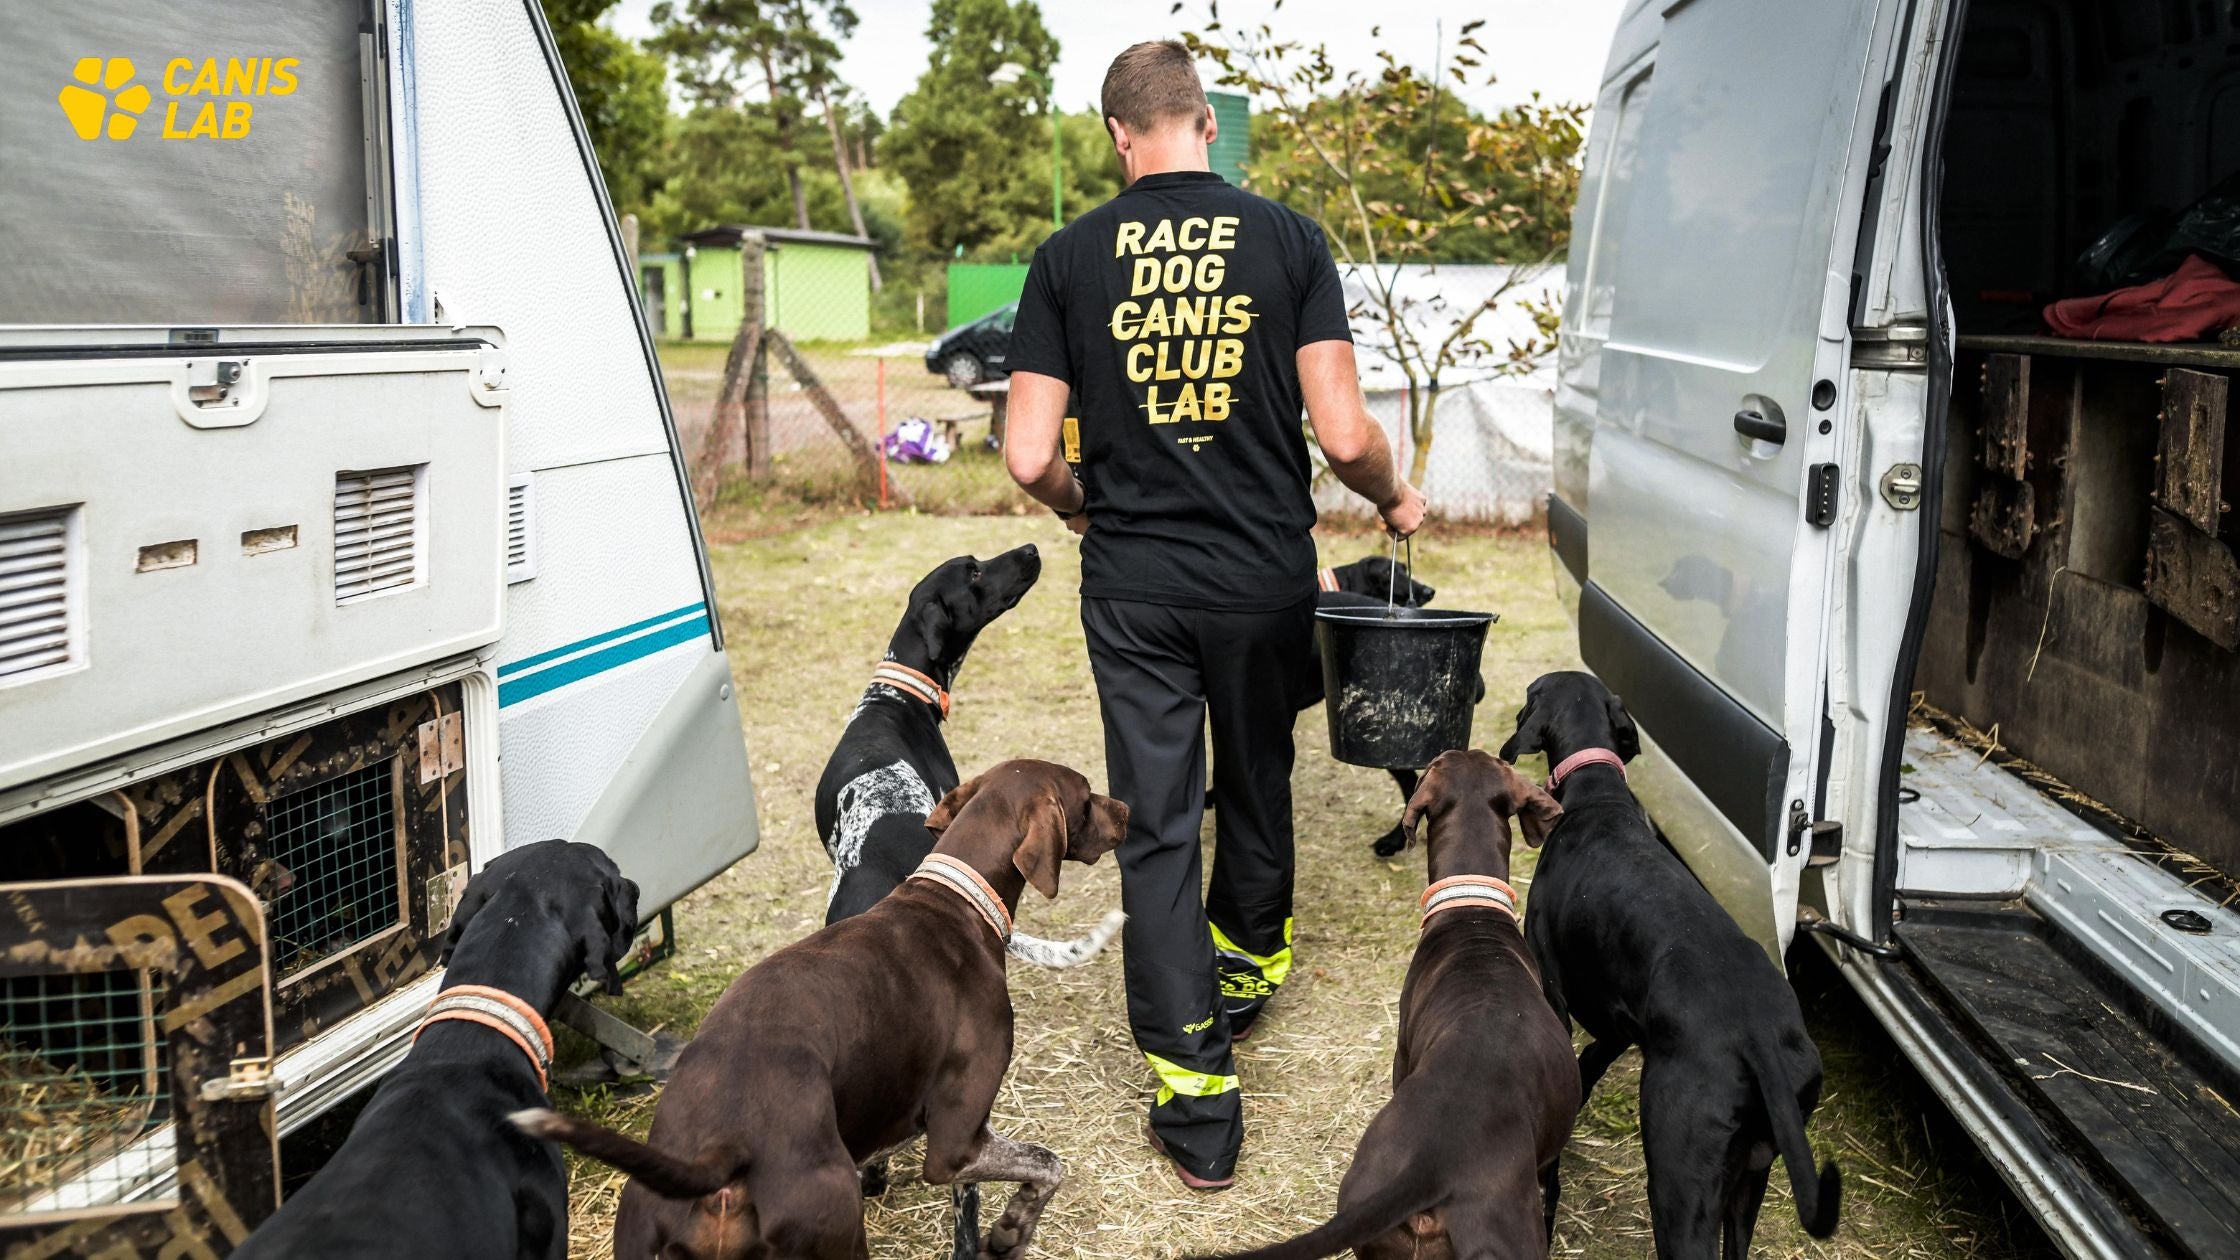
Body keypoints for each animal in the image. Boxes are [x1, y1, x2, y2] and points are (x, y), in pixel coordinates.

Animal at [1505, 668, 1836, 1246]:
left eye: (1531, 693)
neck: (1599, 796)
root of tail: (1759, 1040)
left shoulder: (1553, 990)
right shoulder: (1617, 1026)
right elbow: (1585, 1069)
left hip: (1680, 1175)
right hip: (1749, 1178)